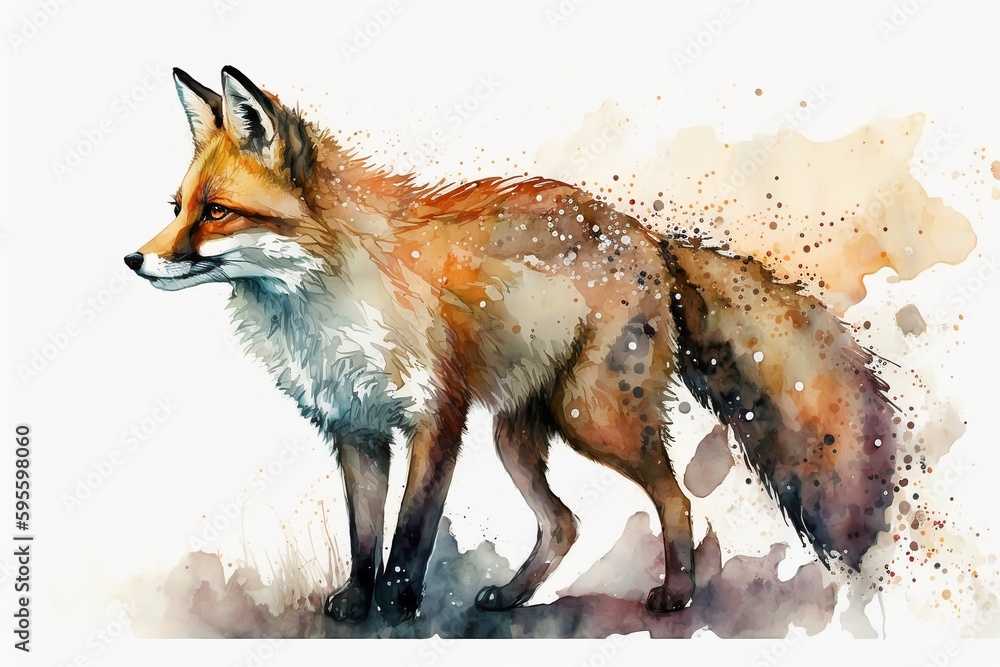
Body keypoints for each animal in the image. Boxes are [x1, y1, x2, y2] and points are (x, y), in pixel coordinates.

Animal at [125, 66, 897, 625]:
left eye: (216, 211)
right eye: (177, 208)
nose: (134, 261)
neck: (328, 300)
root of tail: (649, 237)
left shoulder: (437, 416)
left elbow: (410, 534)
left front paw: (398, 607)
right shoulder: (357, 429)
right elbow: (364, 535)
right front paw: (355, 602)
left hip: (595, 419)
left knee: (675, 501)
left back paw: (675, 595)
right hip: (516, 434)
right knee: (564, 524)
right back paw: (512, 595)